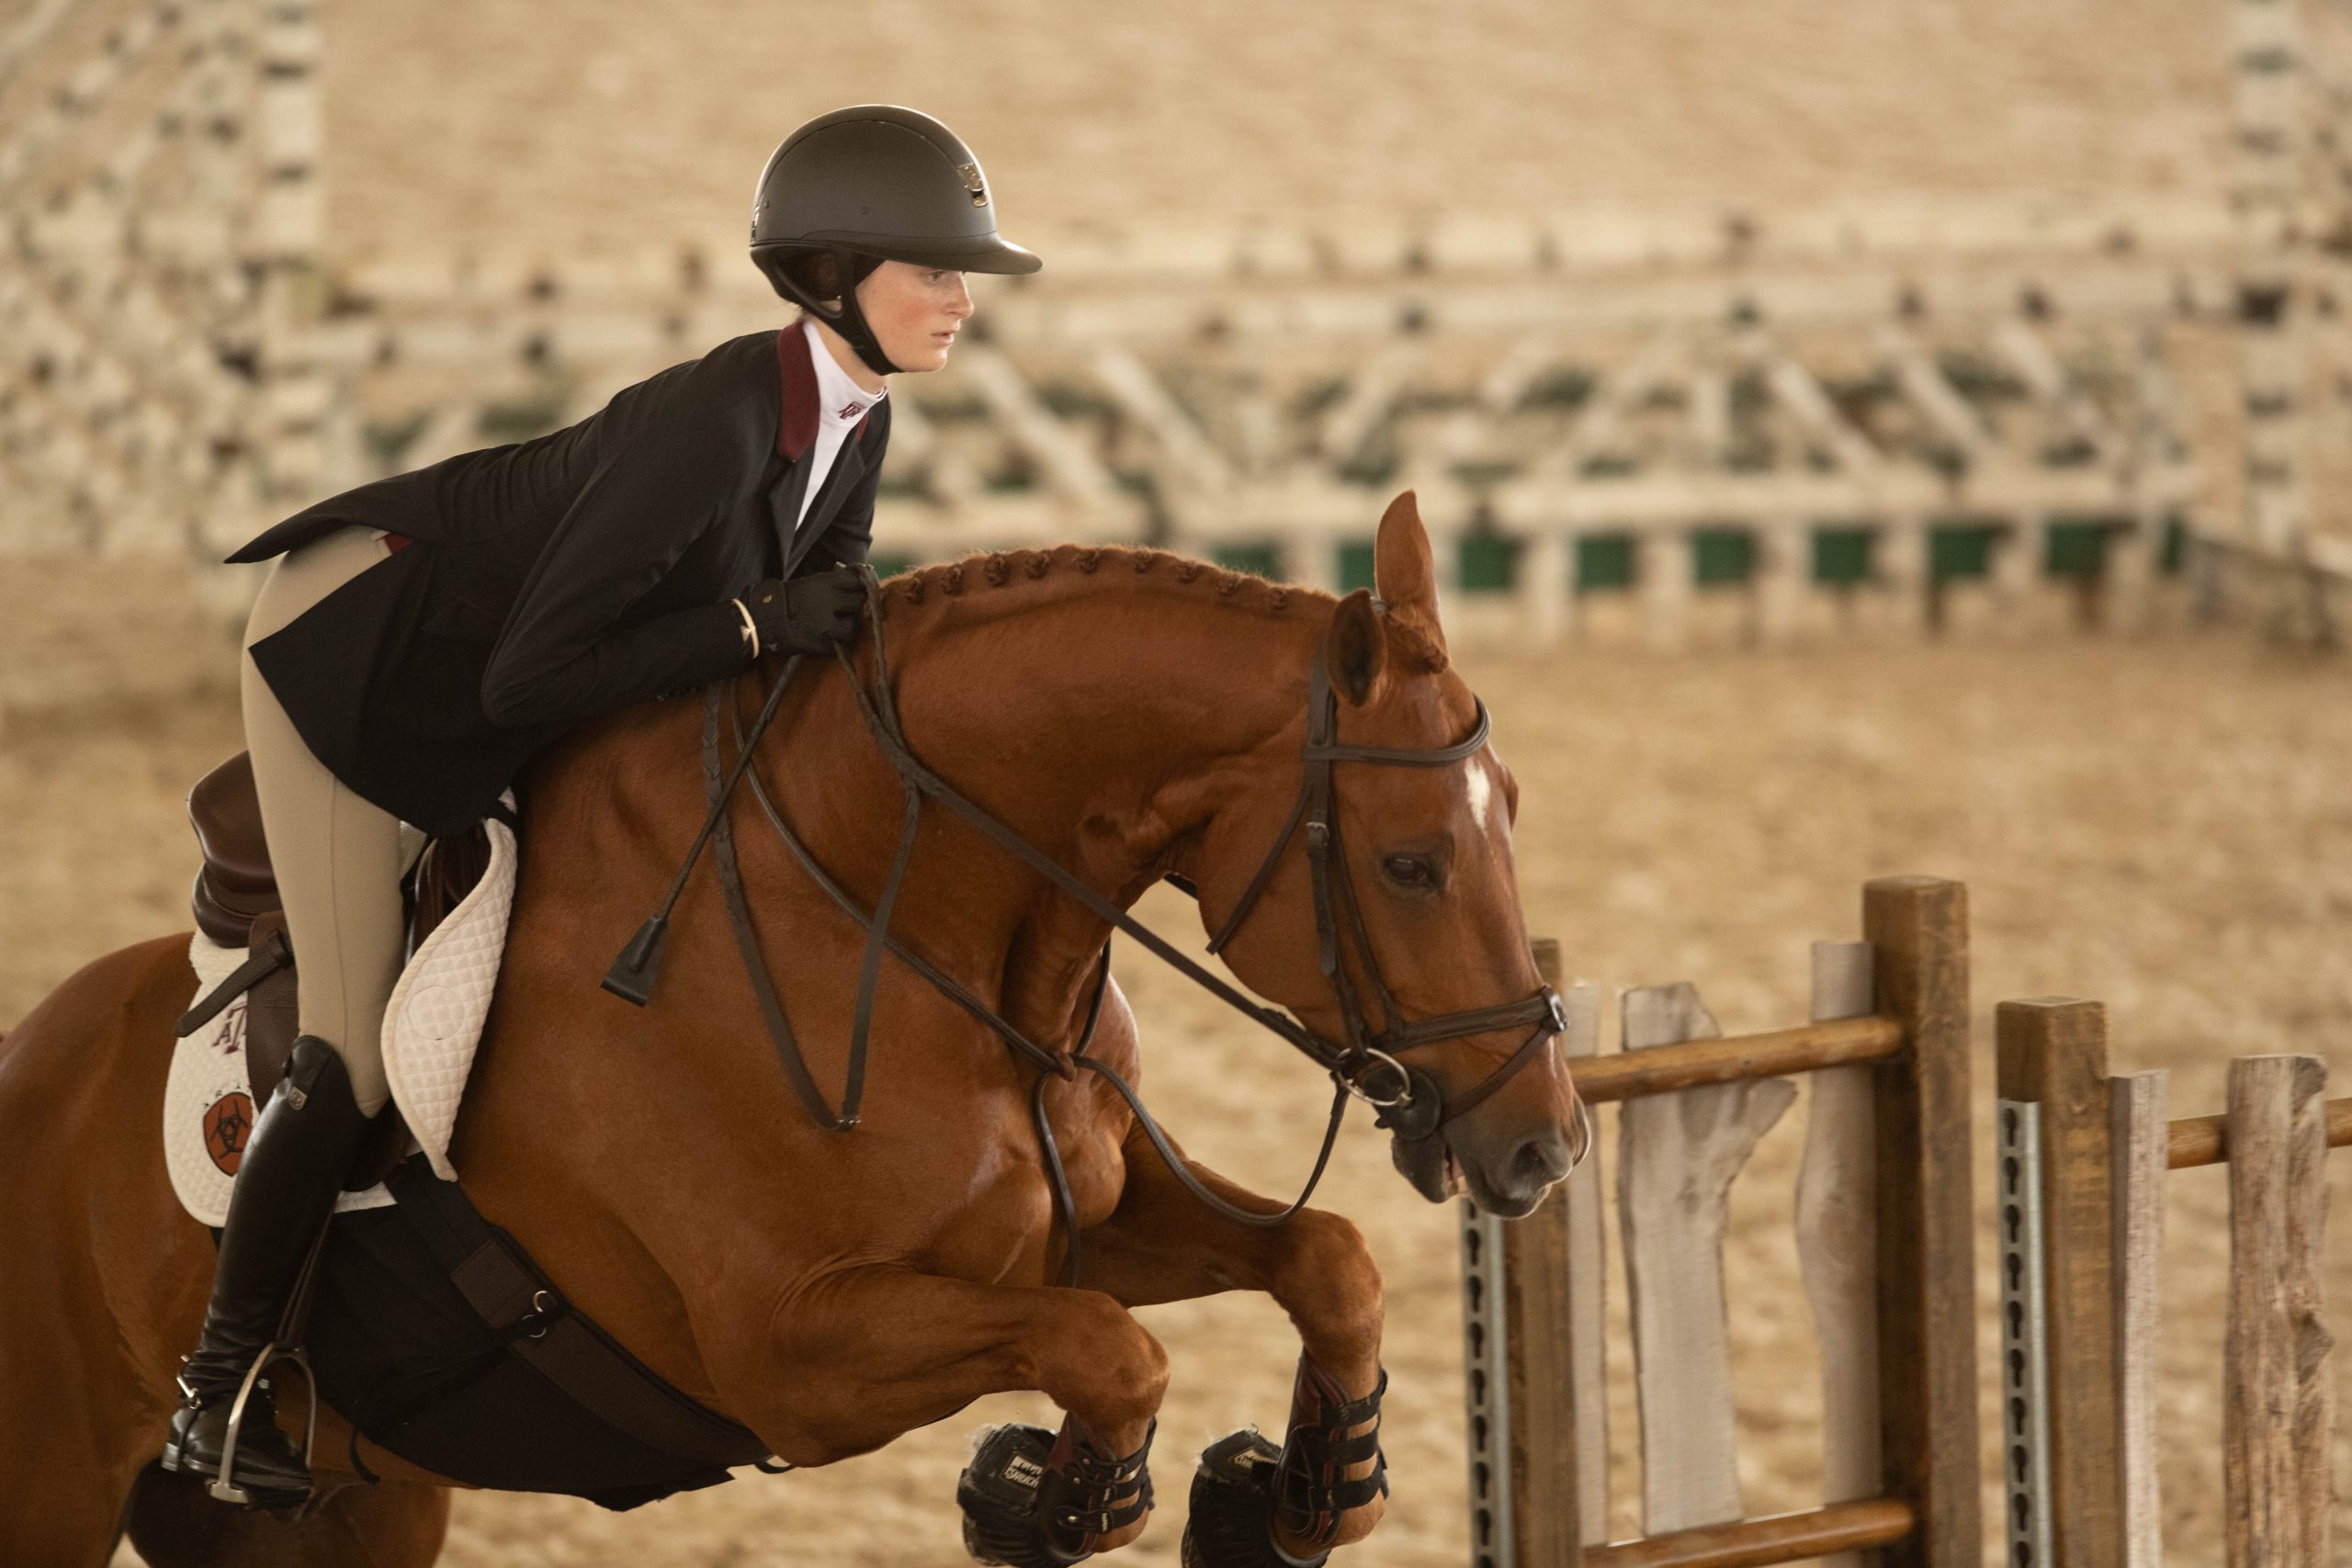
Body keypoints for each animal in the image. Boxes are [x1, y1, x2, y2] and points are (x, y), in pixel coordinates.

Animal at [9, 493, 1580, 1568]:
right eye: (1411, 863)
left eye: (1517, 810)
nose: (1544, 1145)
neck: (902, 926)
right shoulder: (791, 1348)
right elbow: (1110, 1349)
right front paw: (1053, 1494)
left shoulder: (1080, 1225)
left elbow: (1325, 1260)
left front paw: (1309, 1488)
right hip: (65, 1482)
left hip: (347, 1505)